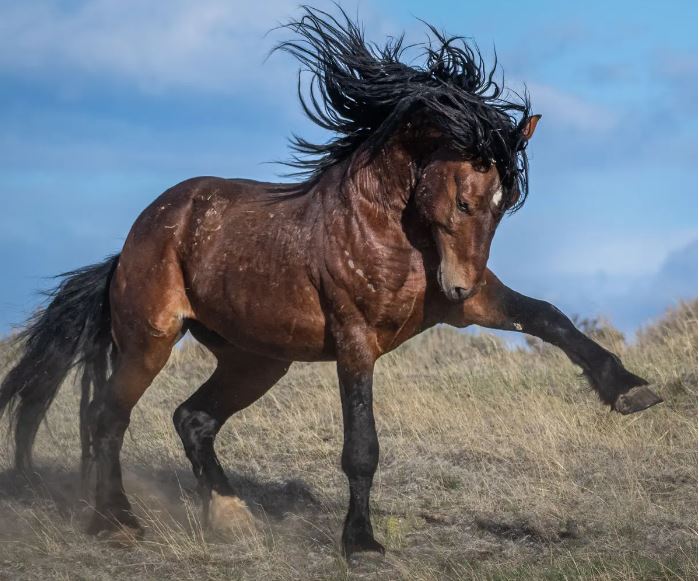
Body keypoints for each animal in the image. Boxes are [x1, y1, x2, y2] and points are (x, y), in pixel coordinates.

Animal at [0, 6, 660, 556]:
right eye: (466, 201)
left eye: (504, 206)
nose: (458, 285)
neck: (388, 227)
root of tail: (131, 244)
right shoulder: (355, 336)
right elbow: (361, 446)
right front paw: (361, 542)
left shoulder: (460, 310)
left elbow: (549, 315)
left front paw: (630, 390)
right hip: (152, 341)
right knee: (107, 417)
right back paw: (115, 521)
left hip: (257, 360)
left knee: (192, 419)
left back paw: (231, 516)